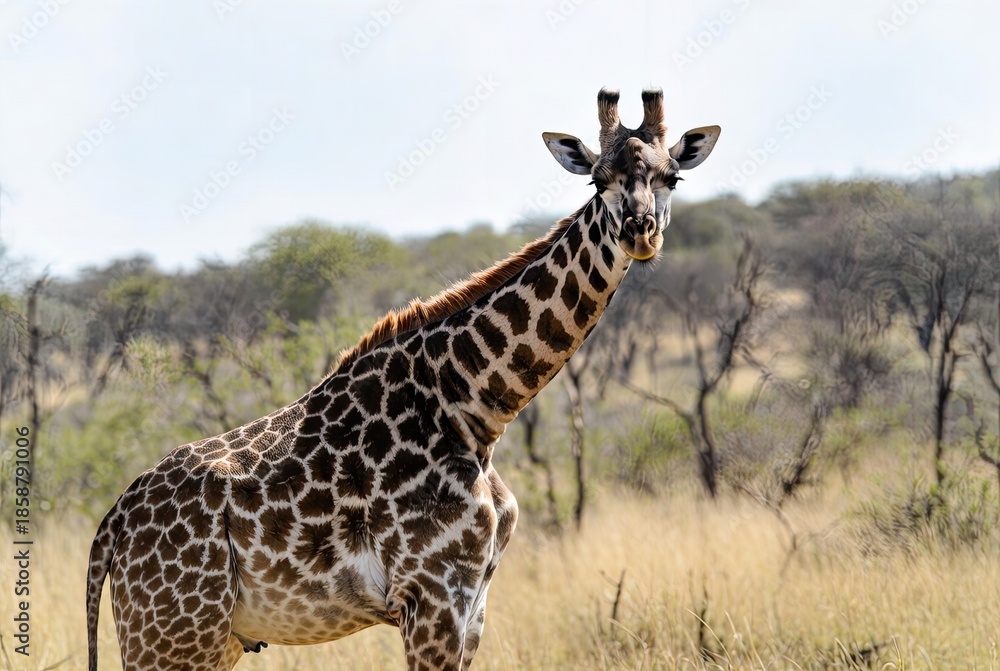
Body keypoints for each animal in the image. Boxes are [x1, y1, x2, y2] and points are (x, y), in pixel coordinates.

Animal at [86, 88, 720, 671]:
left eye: (672, 178)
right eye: (596, 180)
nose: (640, 232)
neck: (476, 408)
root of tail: (111, 527)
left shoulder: (473, 602)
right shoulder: (430, 594)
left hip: (210, 641)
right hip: (171, 636)